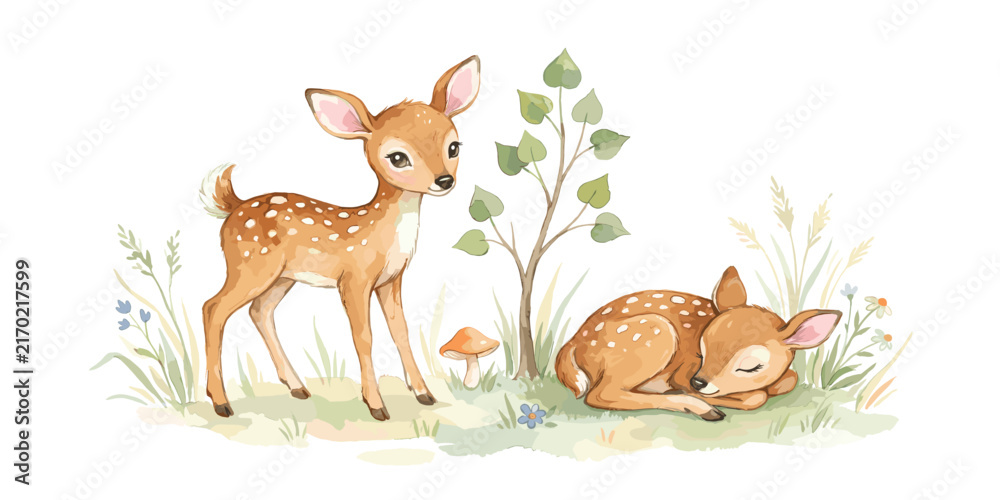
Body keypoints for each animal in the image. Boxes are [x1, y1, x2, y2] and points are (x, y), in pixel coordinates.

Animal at [199, 56, 481, 420]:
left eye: (453, 147)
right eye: (398, 157)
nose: (444, 180)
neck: (380, 236)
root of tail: (232, 207)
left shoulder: (391, 280)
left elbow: (401, 332)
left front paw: (423, 394)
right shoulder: (355, 279)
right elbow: (364, 337)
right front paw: (377, 406)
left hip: (281, 276)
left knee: (259, 311)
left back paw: (296, 387)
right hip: (249, 265)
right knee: (213, 308)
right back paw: (221, 402)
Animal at [555, 266, 841, 420]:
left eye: (751, 366)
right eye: (702, 350)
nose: (699, 382)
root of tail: (574, 344)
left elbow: (789, 379)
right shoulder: (682, 371)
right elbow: (756, 397)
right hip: (654, 334)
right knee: (601, 394)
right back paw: (701, 408)